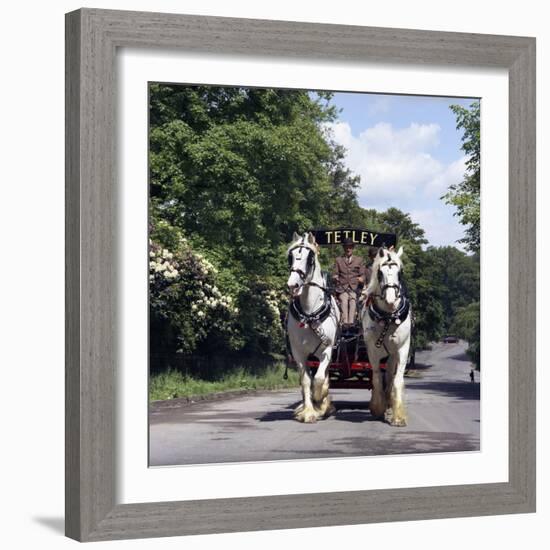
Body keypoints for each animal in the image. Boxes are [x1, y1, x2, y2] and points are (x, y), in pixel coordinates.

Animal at [286, 233, 412, 426]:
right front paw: (310, 411)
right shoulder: (299, 352)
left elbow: (394, 379)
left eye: (310, 258)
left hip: (390, 353)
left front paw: (396, 415)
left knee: (390, 376)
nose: (293, 284)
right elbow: (309, 381)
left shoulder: (401, 348)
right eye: (291, 257)